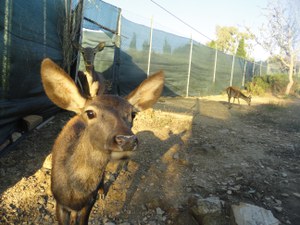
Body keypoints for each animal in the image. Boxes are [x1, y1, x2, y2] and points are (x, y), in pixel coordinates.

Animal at [39, 58, 164, 225]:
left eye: (133, 114)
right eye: (90, 113)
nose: (127, 140)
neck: (76, 193)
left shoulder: (89, 203)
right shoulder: (60, 202)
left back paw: (102, 190)